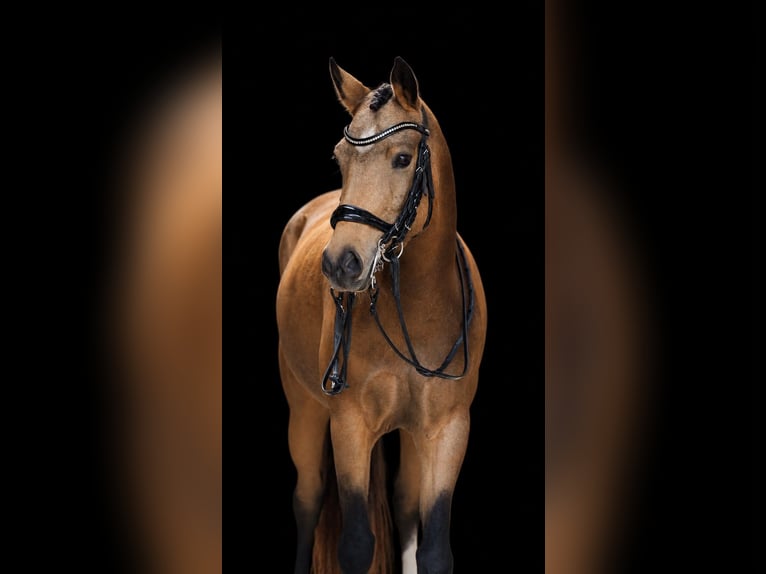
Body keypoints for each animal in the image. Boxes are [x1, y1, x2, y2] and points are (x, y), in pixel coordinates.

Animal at [276, 56, 487, 574]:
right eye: (340, 158)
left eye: (403, 159)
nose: (341, 264)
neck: (420, 304)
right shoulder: (349, 423)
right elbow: (356, 543)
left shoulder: (448, 430)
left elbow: (433, 548)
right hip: (305, 407)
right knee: (308, 499)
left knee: (404, 507)